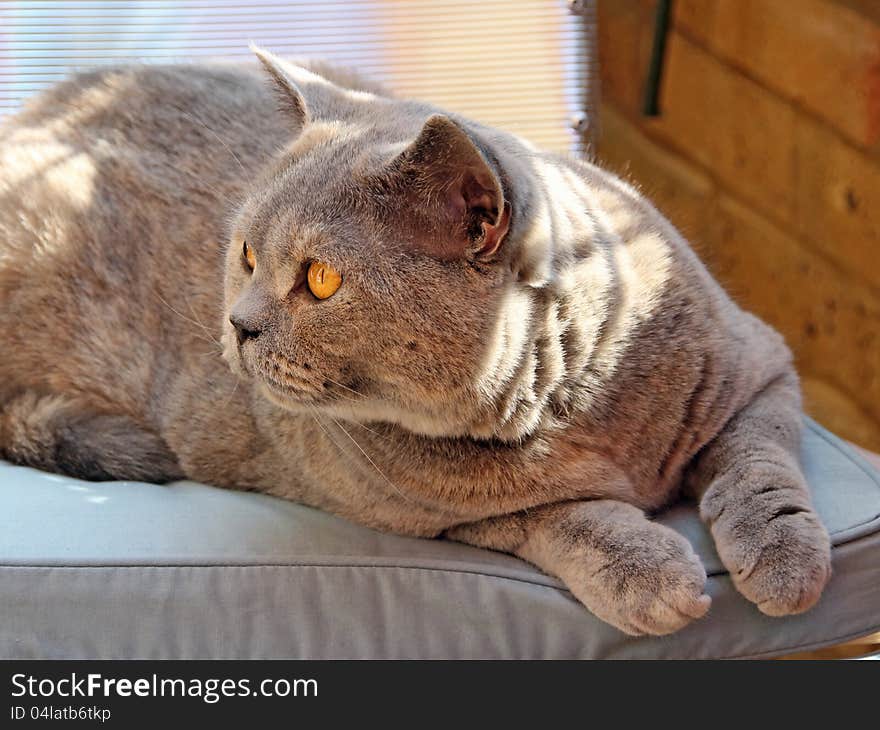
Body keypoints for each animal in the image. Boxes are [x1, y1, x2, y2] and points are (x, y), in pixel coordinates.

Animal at [0, 48, 832, 636]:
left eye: (322, 280)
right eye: (245, 255)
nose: (237, 323)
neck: (573, 408)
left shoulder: (760, 366)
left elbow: (760, 461)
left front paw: (785, 563)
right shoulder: (418, 510)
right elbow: (555, 514)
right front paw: (649, 573)